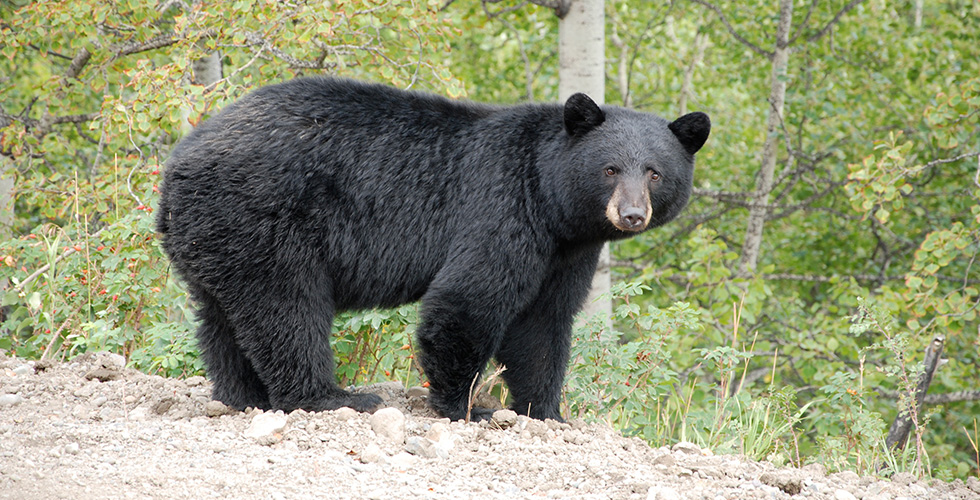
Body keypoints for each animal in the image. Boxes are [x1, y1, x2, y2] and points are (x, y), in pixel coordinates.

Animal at [159, 77, 712, 422]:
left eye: (655, 172)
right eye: (610, 169)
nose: (632, 214)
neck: (551, 201)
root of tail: (177, 165)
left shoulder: (567, 251)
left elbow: (543, 322)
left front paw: (545, 411)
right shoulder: (501, 208)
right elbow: (468, 300)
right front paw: (468, 407)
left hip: (216, 235)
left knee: (221, 318)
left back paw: (241, 395)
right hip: (265, 219)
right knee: (286, 309)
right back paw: (331, 397)